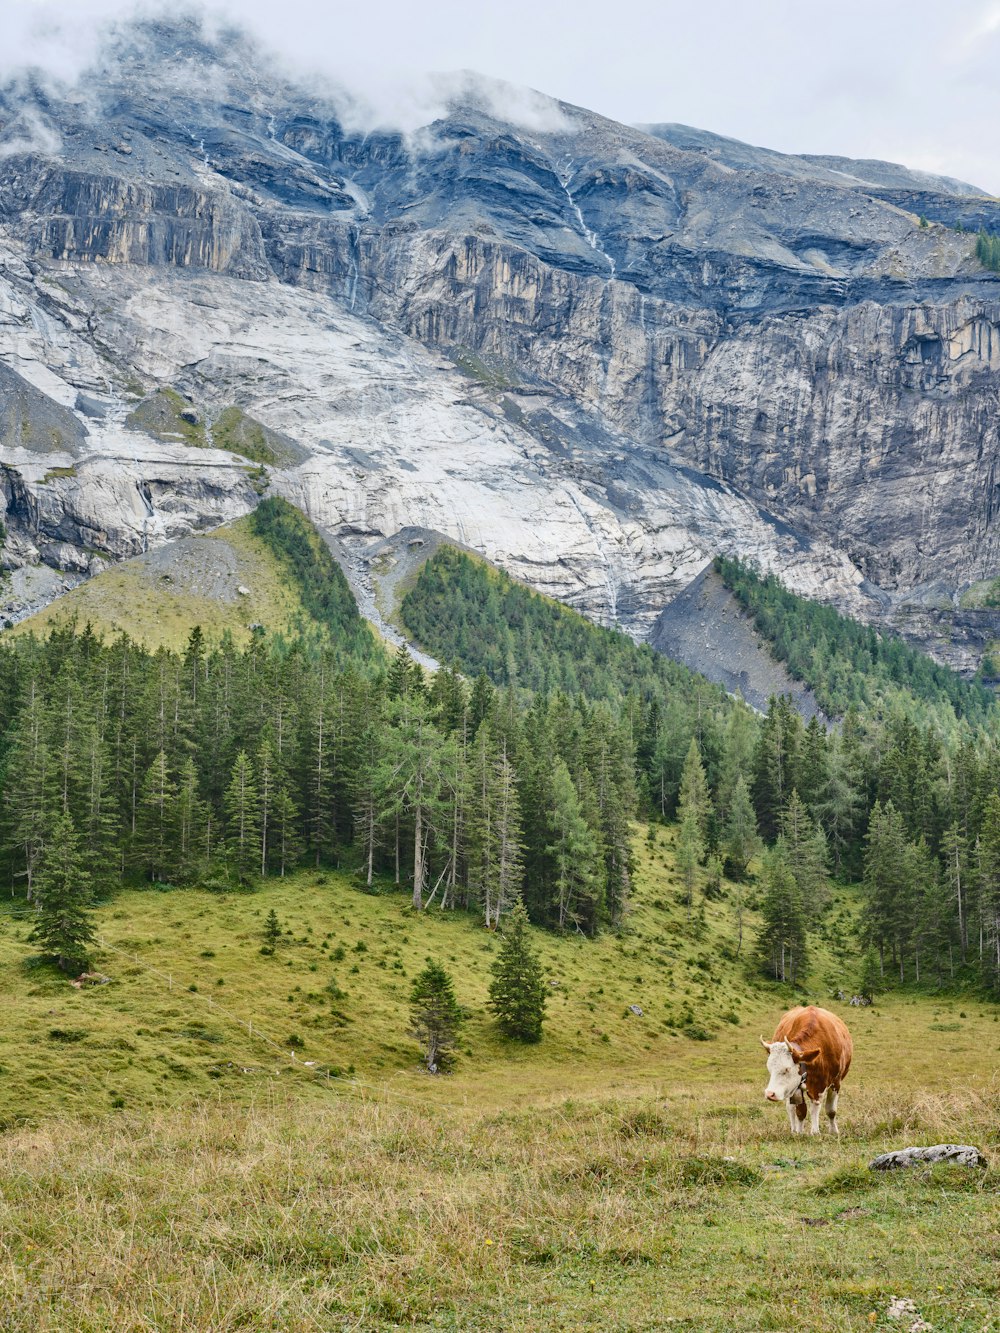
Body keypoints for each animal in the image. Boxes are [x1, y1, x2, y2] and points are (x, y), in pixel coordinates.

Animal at [757, 1007, 853, 1135]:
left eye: (787, 1068)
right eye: (769, 1068)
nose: (770, 1094)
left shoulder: (835, 1083)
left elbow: (830, 1110)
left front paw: (830, 1131)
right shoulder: (797, 1087)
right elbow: (801, 1111)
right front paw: (801, 1132)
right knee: (791, 1108)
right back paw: (794, 1130)